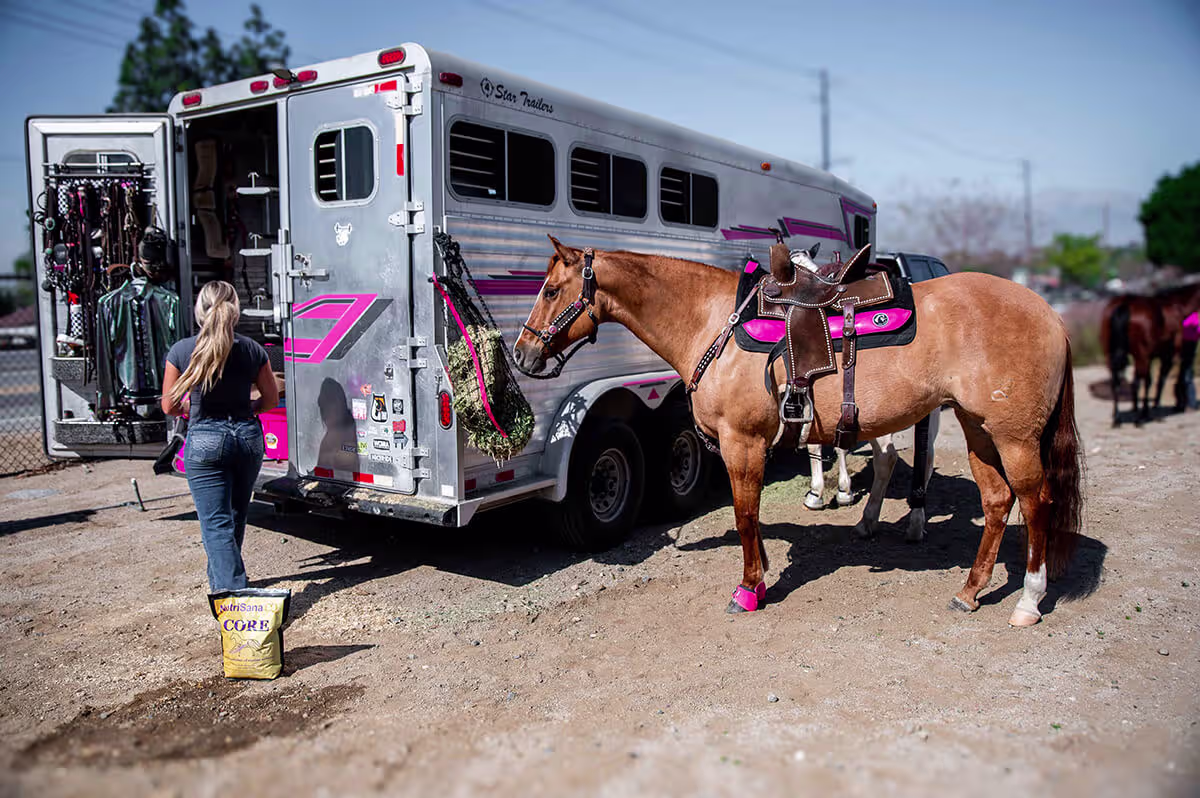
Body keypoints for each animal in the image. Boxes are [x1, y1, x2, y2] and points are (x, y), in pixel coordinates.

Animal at [514, 238, 1083, 627]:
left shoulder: (741, 442)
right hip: (976, 427)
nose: (522, 354)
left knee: (1035, 503)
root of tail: (1050, 313)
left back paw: (1028, 600)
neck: (710, 323)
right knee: (995, 501)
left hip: (1013, 436)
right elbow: (754, 514)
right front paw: (763, 571)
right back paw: (969, 590)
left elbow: (745, 515)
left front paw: (749, 589)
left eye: (550, 290)